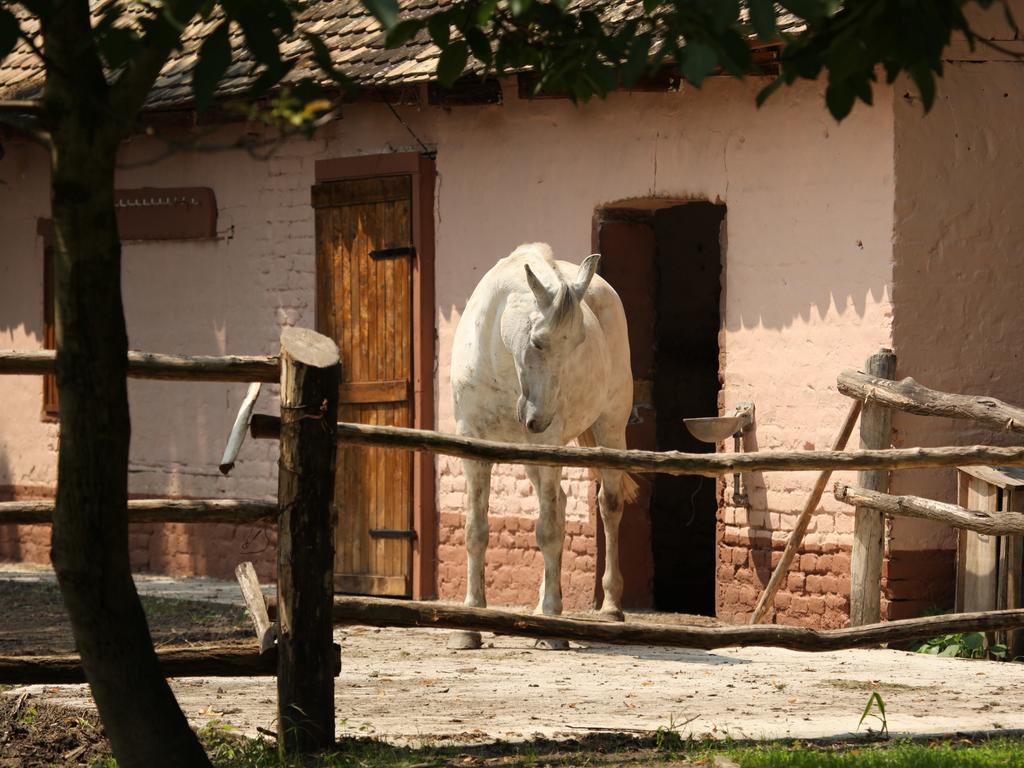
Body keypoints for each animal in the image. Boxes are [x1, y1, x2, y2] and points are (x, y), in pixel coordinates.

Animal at [450, 241, 634, 651]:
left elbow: (548, 531)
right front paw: (469, 626)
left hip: (610, 428)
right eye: (537, 341)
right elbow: (475, 531)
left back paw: (609, 607)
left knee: (608, 505)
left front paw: (551, 624)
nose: (539, 419)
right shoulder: (474, 446)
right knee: (562, 504)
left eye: (579, 342)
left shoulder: (548, 445)